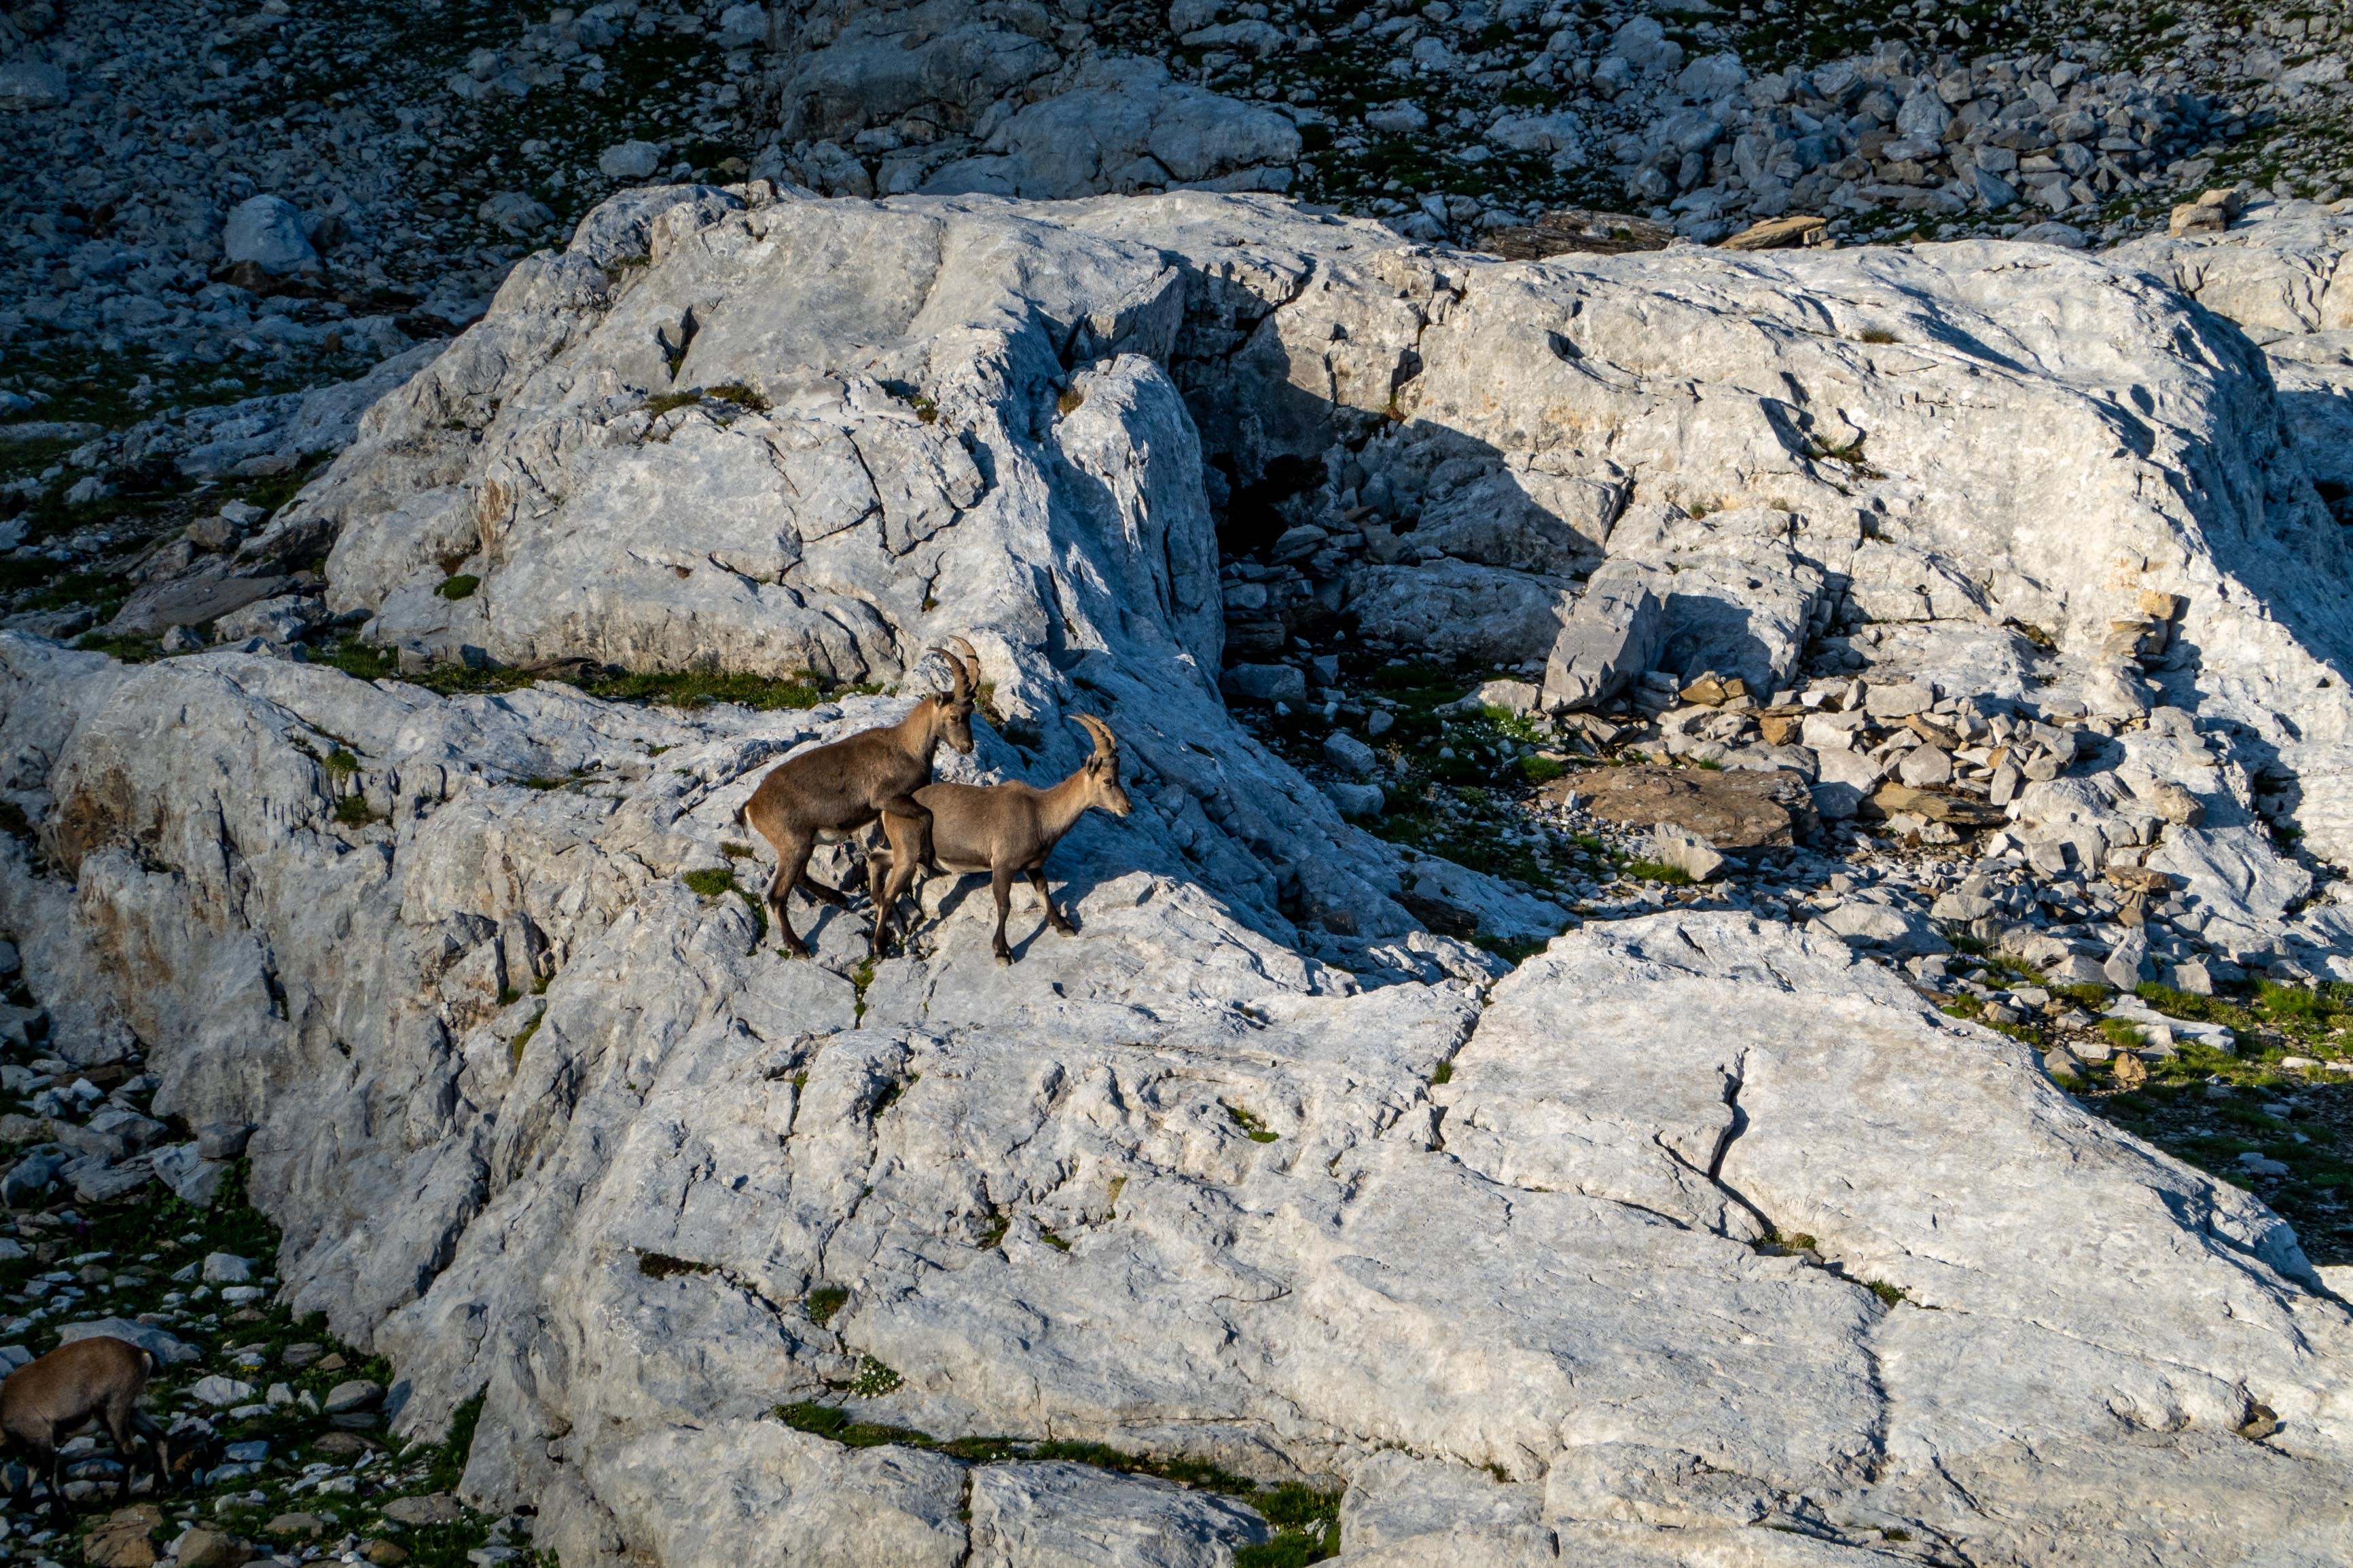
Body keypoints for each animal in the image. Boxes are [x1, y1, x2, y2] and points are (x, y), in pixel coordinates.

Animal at [0, 1336, 170, 1520]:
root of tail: (140, 1353)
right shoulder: (30, 1447)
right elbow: (30, 1472)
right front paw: (15, 1504)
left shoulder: (41, 1436)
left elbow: (47, 1475)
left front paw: (58, 1515)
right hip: (133, 1410)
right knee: (157, 1436)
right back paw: (159, 1489)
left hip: (113, 1410)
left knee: (130, 1452)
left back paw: (120, 1499)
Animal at [737, 637, 981, 959]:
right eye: (954, 716)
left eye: (970, 714)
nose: (968, 747)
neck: (907, 746)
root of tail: (752, 806)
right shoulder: (886, 798)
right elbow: (925, 815)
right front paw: (926, 859)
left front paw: (876, 894)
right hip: (792, 842)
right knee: (777, 895)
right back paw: (798, 945)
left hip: (804, 843)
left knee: (799, 876)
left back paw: (836, 897)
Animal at [867, 714, 1132, 964]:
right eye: (1108, 781)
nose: (1128, 807)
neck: (1040, 812)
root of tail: (886, 810)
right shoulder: (1004, 864)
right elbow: (1004, 905)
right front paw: (1002, 951)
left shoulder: (1032, 865)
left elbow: (1044, 890)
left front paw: (1062, 925)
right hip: (908, 853)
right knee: (889, 894)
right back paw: (879, 947)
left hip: (907, 853)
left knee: (876, 858)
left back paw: (874, 900)